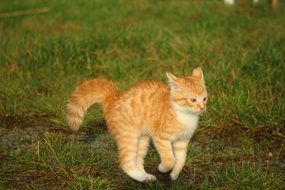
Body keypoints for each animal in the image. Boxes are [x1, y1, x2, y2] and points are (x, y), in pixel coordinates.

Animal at [67, 67, 207, 182]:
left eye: (205, 98)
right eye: (192, 100)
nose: (202, 107)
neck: (184, 115)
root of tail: (112, 98)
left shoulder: (181, 142)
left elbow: (181, 160)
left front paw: (174, 175)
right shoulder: (160, 138)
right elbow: (169, 159)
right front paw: (163, 168)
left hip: (142, 139)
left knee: (137, 160)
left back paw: (145, 176)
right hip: (128, 136)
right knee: (126, 163)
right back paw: (139, 176)